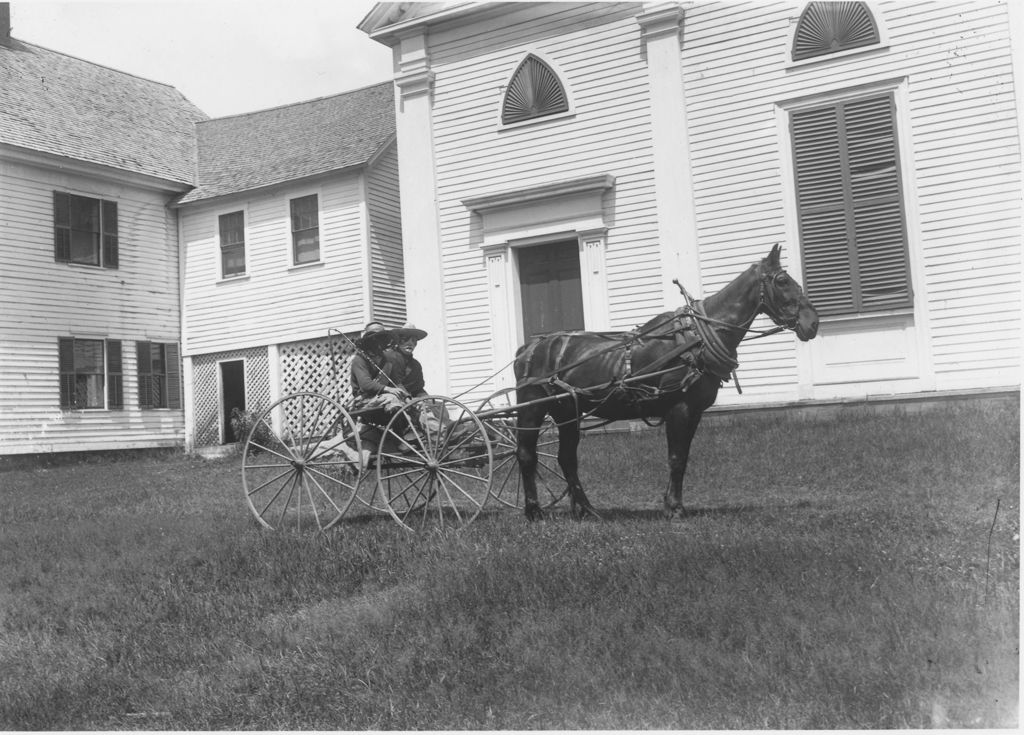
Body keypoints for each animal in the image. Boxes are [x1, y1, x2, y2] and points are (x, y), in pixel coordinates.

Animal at [516, 244, 819, 522]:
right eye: (782, 281)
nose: (812, 323)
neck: (696, 338)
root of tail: (529, 347)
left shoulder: (694, 412)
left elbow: (682, 458)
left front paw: (673, 504)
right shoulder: (679, 409)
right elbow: (676, 459)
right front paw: (674, 508)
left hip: (567, 411)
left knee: (567, 458)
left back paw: (587, 510)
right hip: (532, 408)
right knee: (526, 454)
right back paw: (534, 511)